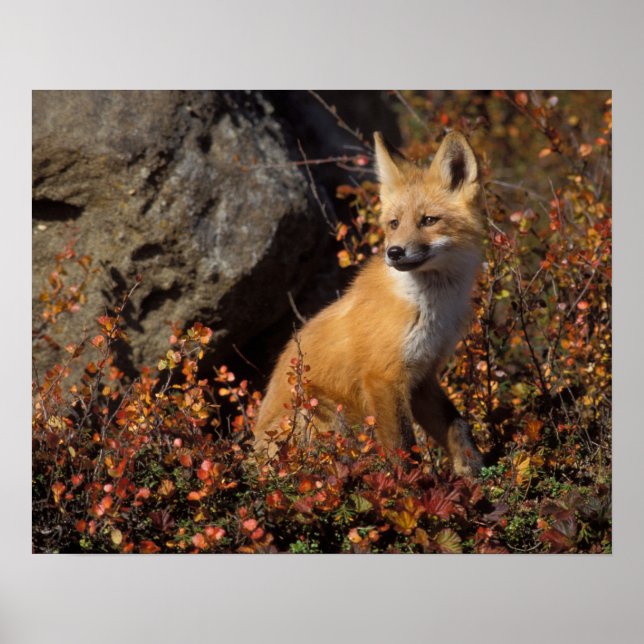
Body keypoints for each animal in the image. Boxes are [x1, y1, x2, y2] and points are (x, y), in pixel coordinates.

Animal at [253, 130, 485, 476]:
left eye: (429, 220)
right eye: (394, 223)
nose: (394, 252)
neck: (430, 308)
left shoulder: (423, 375)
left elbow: (457, 425)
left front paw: (473, 469)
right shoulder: (383, 377)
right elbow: (404, 449)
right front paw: (416, 485)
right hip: (323, 413)